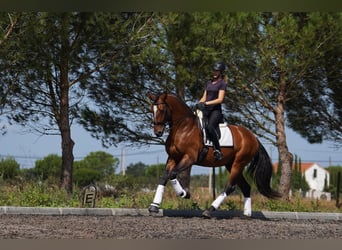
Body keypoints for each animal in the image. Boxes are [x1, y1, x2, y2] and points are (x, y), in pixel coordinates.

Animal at [148, 93, 280, 218]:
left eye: (162, 109)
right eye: (152, 110)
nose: (158, 132)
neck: (183, 127)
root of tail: (253, 137)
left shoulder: (189, 157)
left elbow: (173, 174)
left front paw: (184, 194)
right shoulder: (173, 158)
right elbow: (164, 177)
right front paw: (154, 206)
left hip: (238, 163)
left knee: (230, 187)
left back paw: (209, 210)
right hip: (230, 164)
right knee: (245, 187)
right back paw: (247, 214)